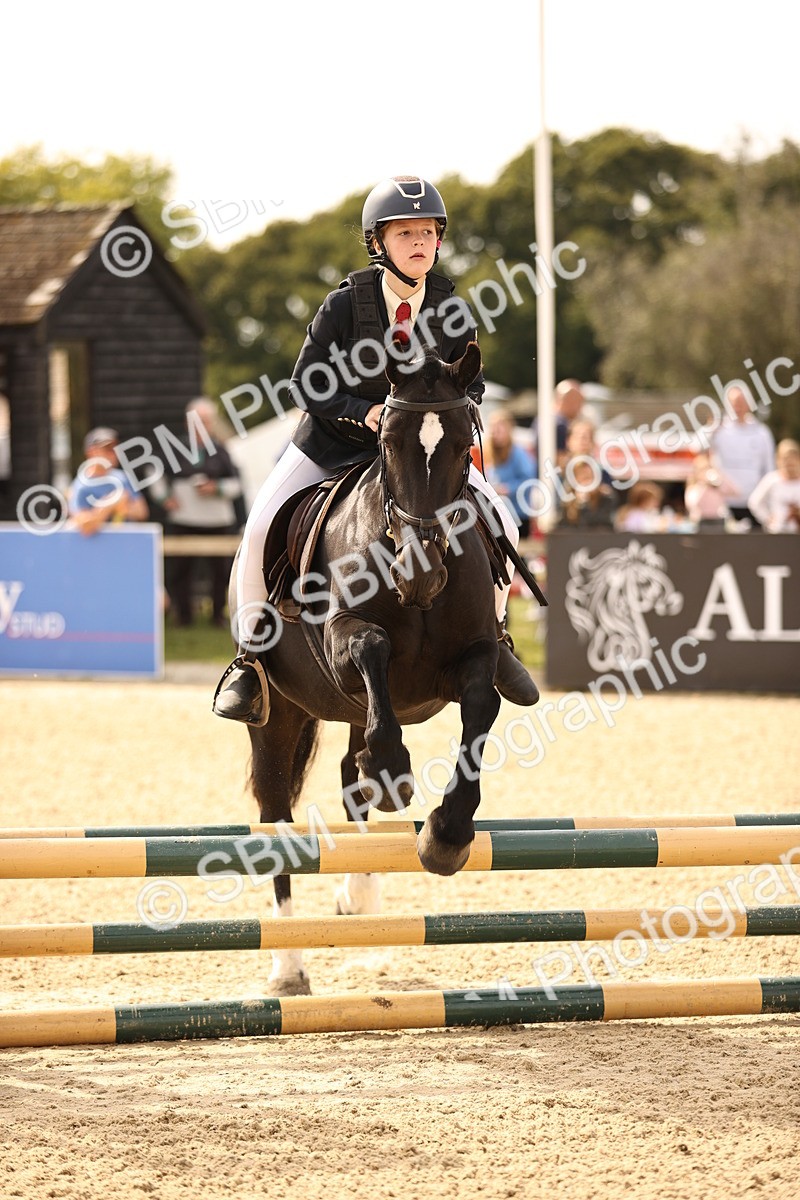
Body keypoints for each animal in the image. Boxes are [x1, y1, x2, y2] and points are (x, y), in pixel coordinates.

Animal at [236, 341, 506, 994]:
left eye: (460, 445)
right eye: (388, 443)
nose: (421, 573)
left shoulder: (472, 658)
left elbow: (483, 705)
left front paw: (446, 836)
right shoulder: (342, 639)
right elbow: (371, 647)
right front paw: (393, 774)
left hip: (352, 710)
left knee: (349, 779)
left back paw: (359, 892)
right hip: (277, 715)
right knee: (277, 818)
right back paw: (289, 968)